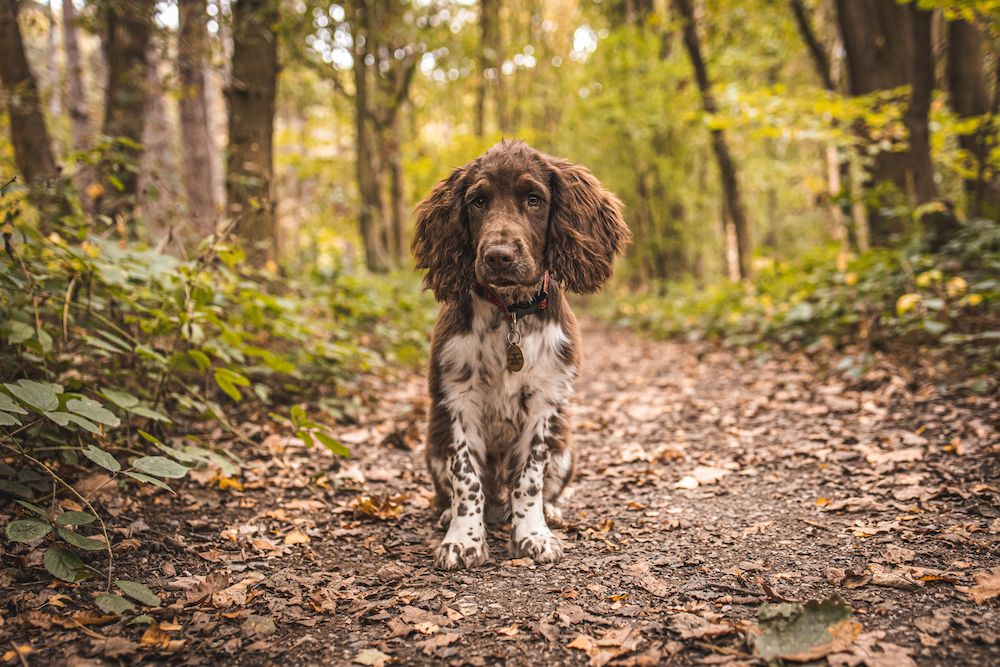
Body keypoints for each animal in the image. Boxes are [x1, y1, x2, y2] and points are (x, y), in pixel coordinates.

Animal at [410, 140, 628, 568]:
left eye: (534, 199)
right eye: (478, 201)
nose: (498, 256)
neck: (509, 312)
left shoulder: (547, 401)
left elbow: (529, 478)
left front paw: (533, 535)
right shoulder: (458, 399)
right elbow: (466, 478)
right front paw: (462, 540)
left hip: (567, 450)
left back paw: (550, 511)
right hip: (432, 446)